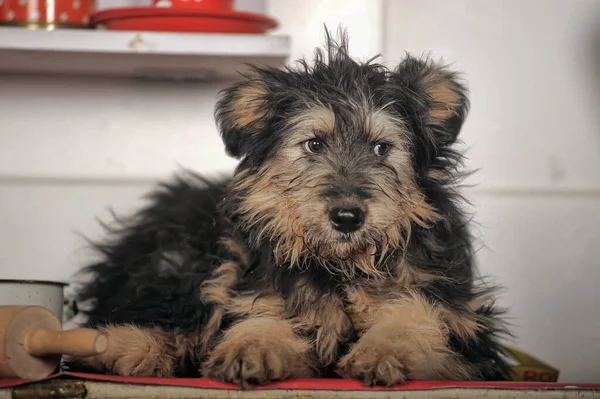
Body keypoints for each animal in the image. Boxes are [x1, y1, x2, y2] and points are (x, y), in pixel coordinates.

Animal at [69, 30, 510, 388]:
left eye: (381, 148)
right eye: (314, 144)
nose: (347, 218)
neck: (340, 268)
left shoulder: (466, 326)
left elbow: (419, 316)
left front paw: (385, 350)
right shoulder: (261, 291)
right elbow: (263, 317)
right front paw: (252, 347)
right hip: (189, 258)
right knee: (161, 313)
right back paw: (118, 347)